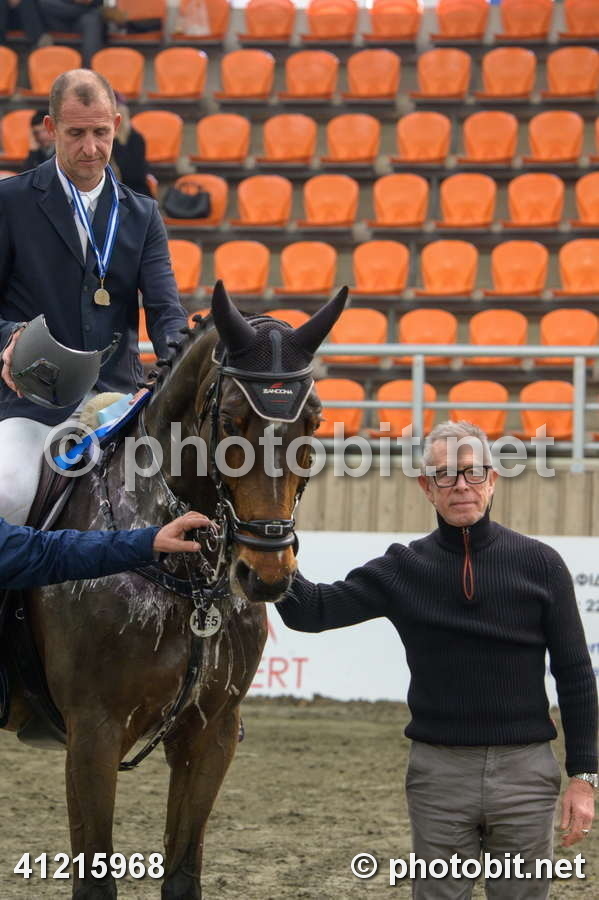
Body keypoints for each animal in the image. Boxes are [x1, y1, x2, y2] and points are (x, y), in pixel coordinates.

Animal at [4, 280, 347, 900]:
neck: (189, 582)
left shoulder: (209, 734)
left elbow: (184, 873)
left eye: (313, 420)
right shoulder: (93, 735)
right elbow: (95, 881)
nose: (266, 574)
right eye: (230, 419)